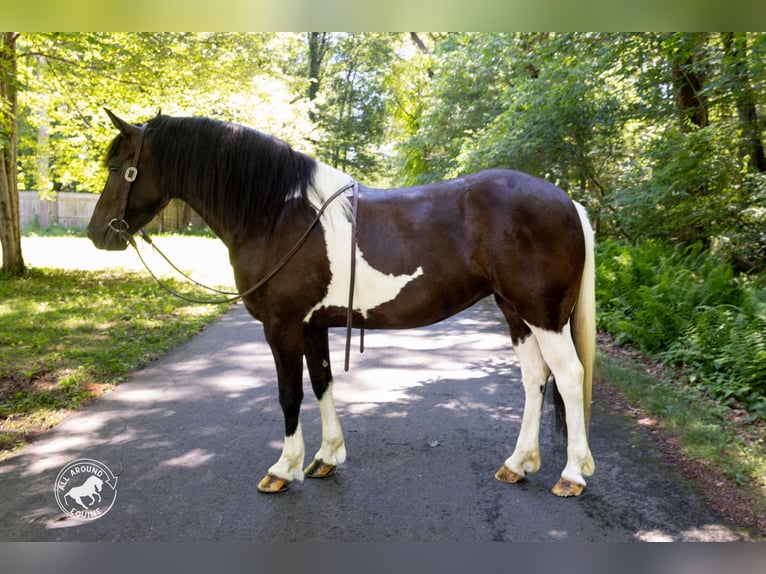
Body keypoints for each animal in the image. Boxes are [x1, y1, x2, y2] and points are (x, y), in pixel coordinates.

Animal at [87, 110, 596, 497]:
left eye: (118, 168)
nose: (96, 234)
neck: (277, 212)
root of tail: (568, 200)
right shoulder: (313, 325)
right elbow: (322, 384)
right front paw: (327, 457)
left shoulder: (282, 326)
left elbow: (289, 394)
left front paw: (283, 469)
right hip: (516, 313)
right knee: (535, 378)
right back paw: (518, 463)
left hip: (545, 316)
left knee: (569, 377)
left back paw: (572, 475)